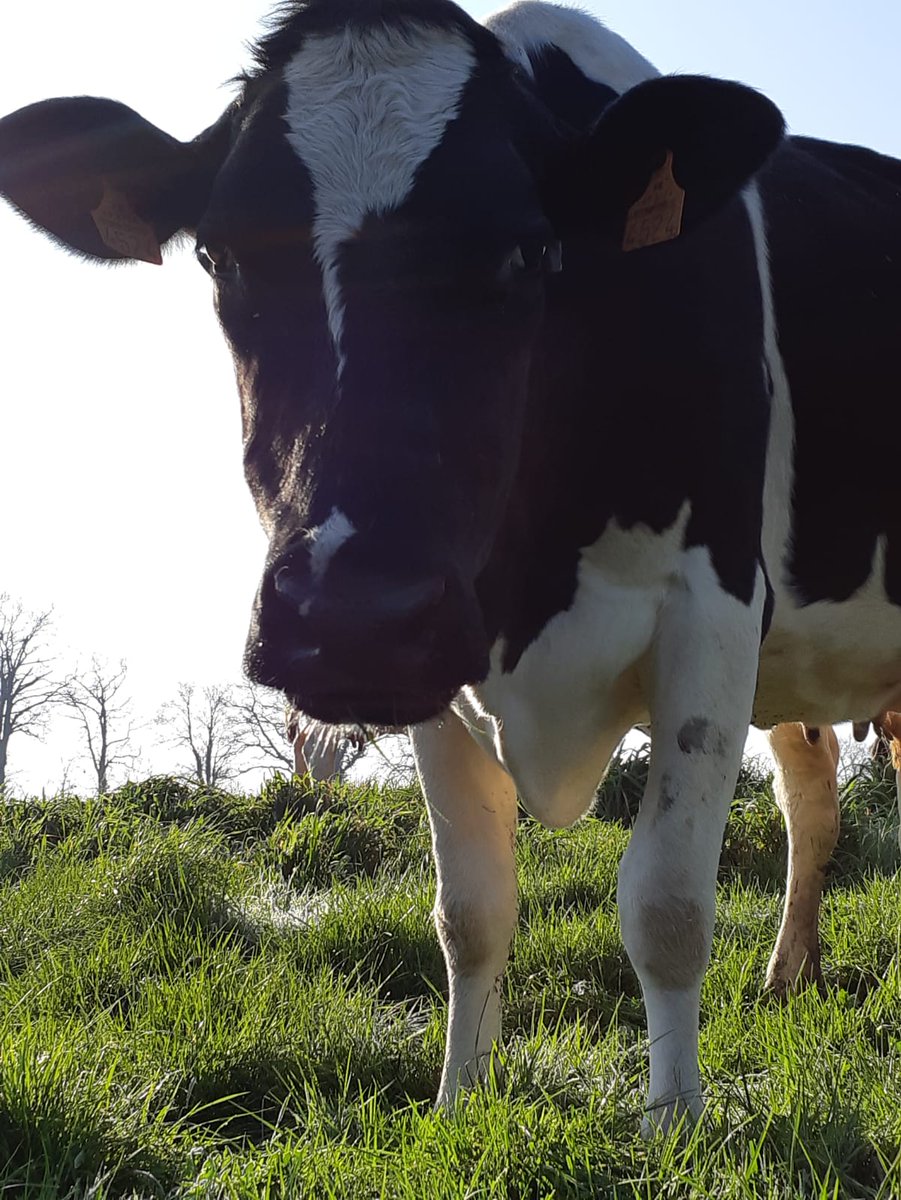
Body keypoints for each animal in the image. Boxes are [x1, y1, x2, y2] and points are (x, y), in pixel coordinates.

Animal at [4, 0, 901, 1134]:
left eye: (528, 250)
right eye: (219, 256)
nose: (347, 615)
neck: (530, 591)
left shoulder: (712, 605)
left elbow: (665, 902)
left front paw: (672, 1122)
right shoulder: (434, 654)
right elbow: (471, 908)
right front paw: (459, 1102)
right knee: (812, 804)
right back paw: (788, 979)